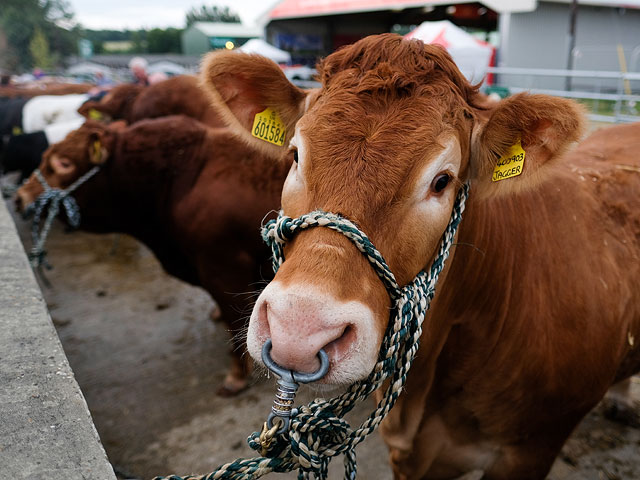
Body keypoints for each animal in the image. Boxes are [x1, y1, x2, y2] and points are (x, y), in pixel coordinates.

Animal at [15, 115, 290, 394]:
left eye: (63, 163)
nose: (20, 197)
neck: (182, 176)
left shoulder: (224, 268)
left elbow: (234, 323)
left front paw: (237, 375)